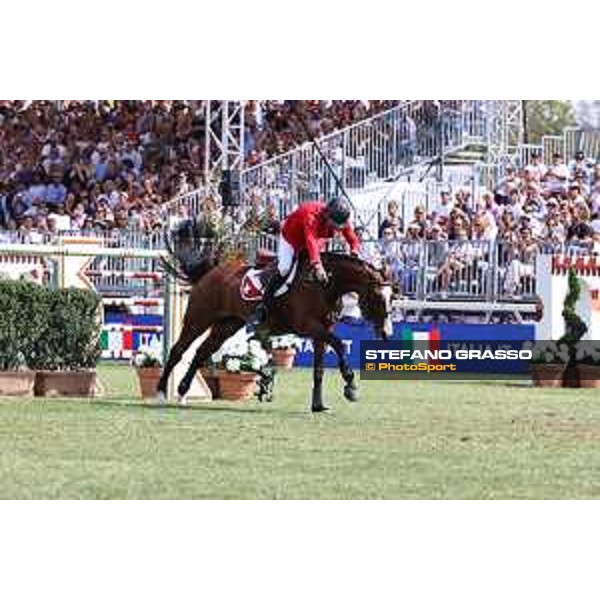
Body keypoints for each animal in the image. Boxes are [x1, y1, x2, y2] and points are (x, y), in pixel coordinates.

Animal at [157, 244, 396, 412]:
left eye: (392, 297)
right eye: (378, 297)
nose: (386, 333)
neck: (325, 284)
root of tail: (210, 273)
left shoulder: (321, 331)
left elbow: (319, 368)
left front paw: (318, 405)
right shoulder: (308, 326)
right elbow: (339, 345)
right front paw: (350, 385)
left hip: (227, 325)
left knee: (201, 352)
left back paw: (182, 391)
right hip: (198, 319)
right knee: (178, 350)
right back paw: (161, 391)